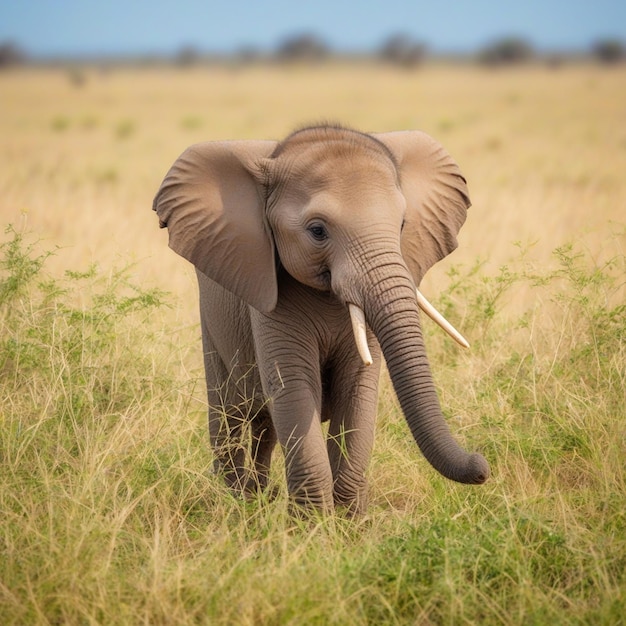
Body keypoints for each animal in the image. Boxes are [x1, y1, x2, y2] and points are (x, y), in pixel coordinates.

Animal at [152, 122, 488, 512]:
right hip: (211, 320)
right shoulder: (268, 296)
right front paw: (311, 524)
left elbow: (356, 390)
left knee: (264, 425)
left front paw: (348, 521)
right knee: (229, 414)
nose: (482, 465)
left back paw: (261, 496)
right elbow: (295, 388)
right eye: (317, 231)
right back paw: (240, 502)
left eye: (403, 224)